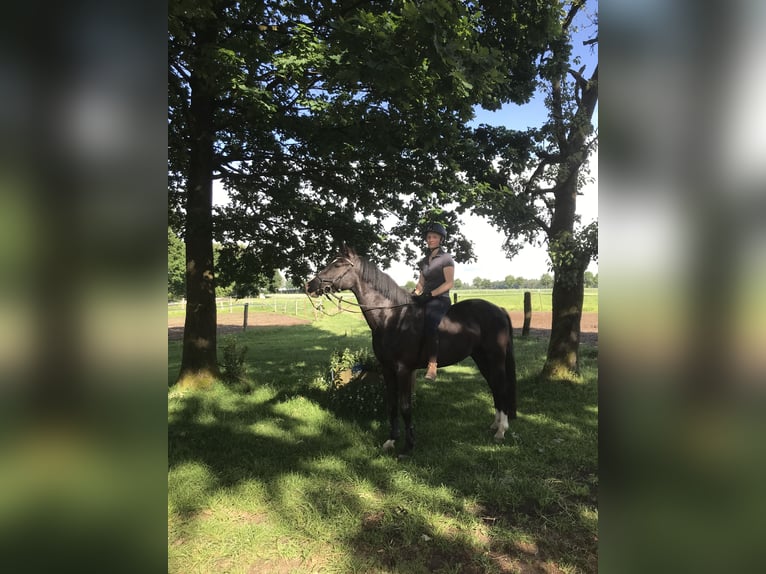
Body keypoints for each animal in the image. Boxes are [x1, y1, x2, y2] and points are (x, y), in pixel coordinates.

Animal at [304, 245, 516, 456]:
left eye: (338, 264)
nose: (310, 285)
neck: (392, 316)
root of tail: (499, 309)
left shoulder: (404, 369)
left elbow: (405, 407)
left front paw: (408, 446)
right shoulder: (387, 369)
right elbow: (391, 405)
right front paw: (390, 440)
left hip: (495, 358)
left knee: (502, 387)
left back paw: (501, 431)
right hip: (481, 358)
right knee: (494, 387)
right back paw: (495, 425)